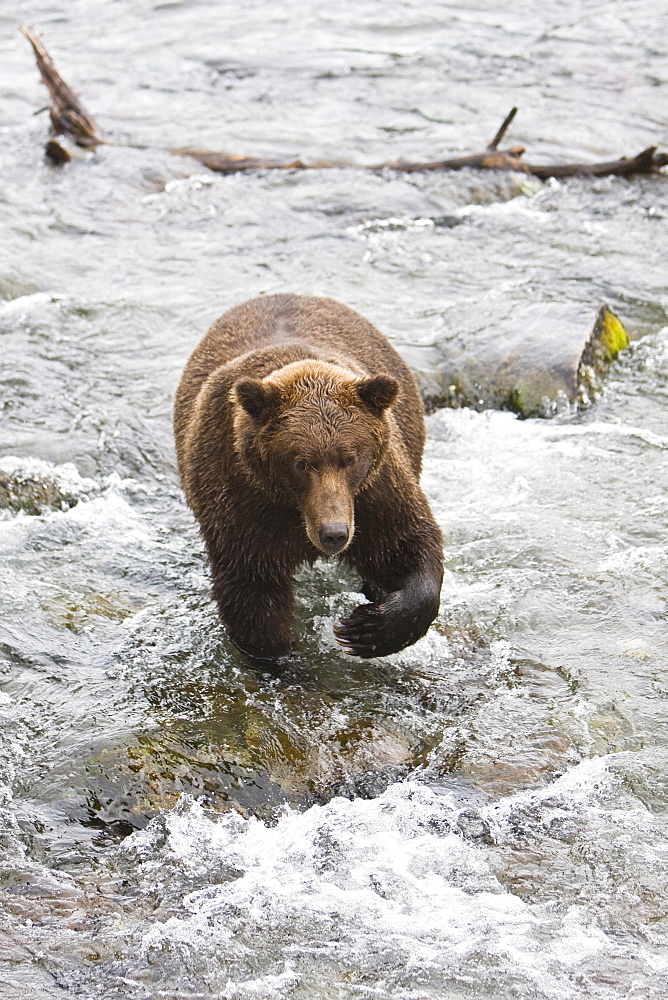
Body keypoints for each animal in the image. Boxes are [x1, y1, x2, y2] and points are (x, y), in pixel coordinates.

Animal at [174, 292, 444, 660]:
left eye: (349, 458)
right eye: (301, 463)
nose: (334, 533)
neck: (295, 508)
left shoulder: (375, 492)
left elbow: (406, 543)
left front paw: (369, 628)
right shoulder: (240, 498)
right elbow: (252, 592)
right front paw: (281, 656)